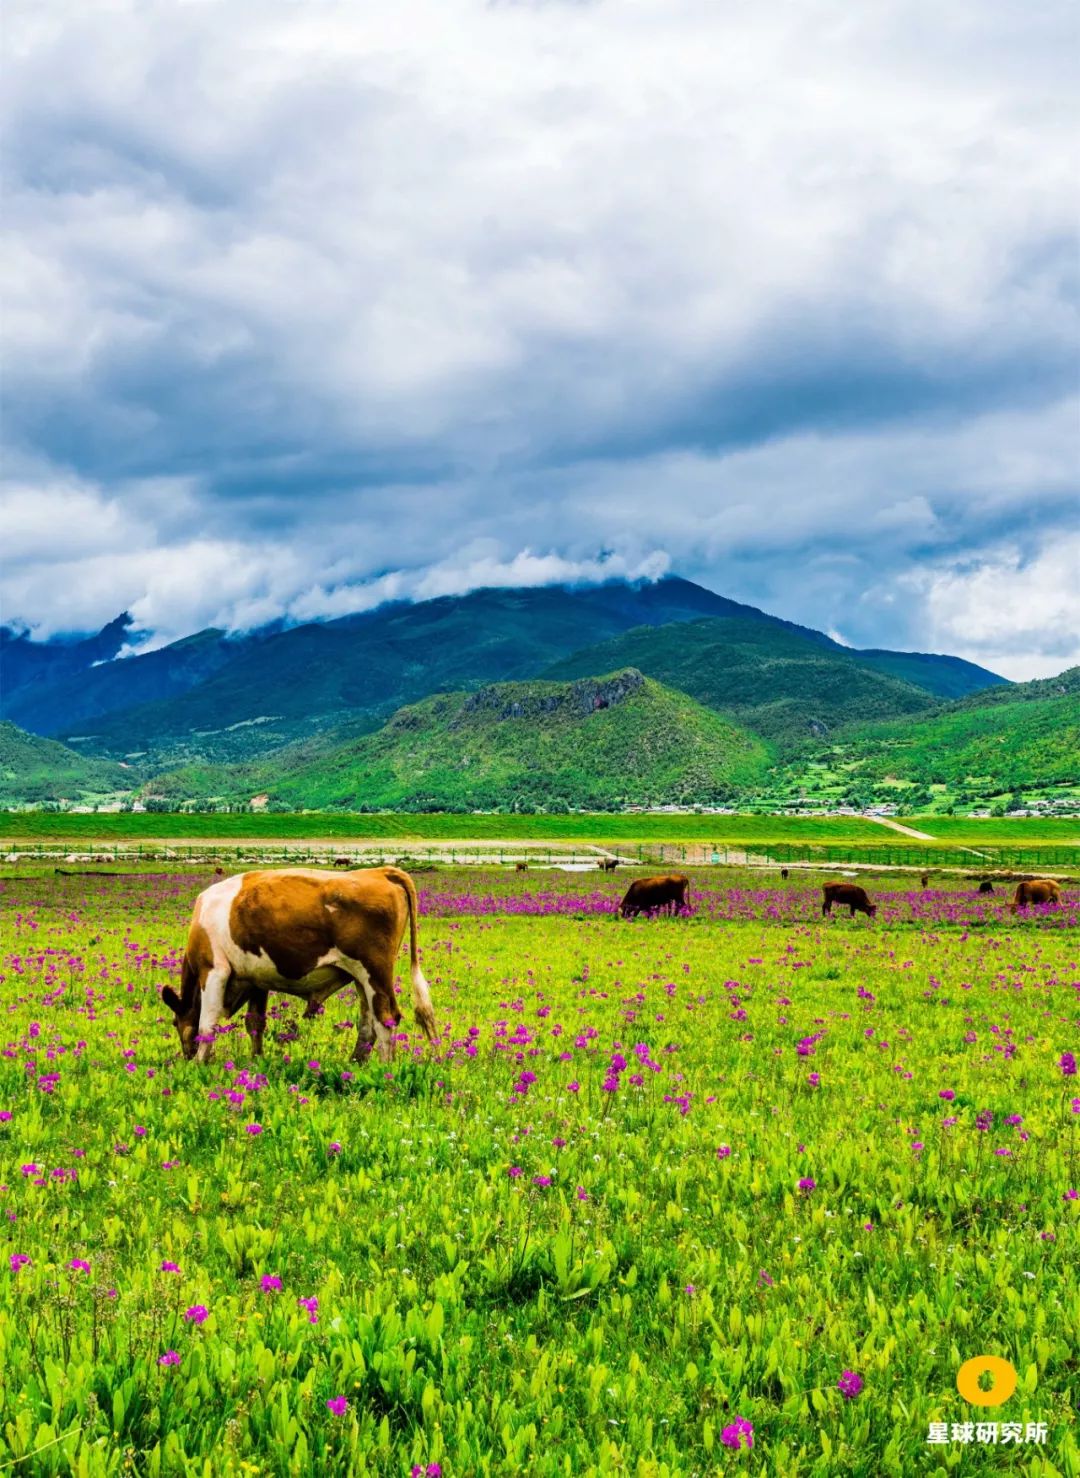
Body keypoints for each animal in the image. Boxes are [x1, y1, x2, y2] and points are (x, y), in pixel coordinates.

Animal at [162, 866, 436, 1065]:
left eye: (175, 1023)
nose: (186, 1055)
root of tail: (380, 871)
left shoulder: (213, 970)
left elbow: (206, 1025)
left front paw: (200, 1064)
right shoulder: (256, 980)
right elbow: (255, 1024)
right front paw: (256, 1060)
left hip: (374, 972)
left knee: (386, 1019)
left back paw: (385, 1068)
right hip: (362, 978)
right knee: (368, 1024)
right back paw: (355, 1063)